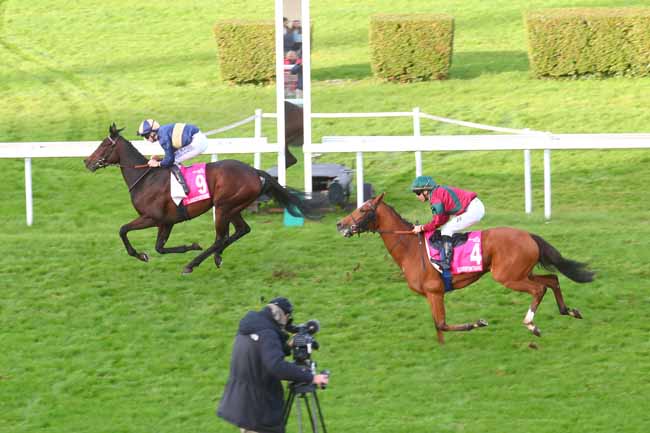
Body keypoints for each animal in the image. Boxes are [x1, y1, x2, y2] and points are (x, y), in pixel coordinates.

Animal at [334, 194, 592, 342]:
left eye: (363, 209)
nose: (339, 224)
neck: (410, 248)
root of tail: (528, 235)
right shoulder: (431, 294)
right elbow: (438, 326)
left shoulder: (435, 291)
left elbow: (442, 323)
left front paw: (477, 323)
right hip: (522, 272)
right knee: (552, 279)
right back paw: (569, 311)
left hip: (508, 276)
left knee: (539, 289)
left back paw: (531, 325)